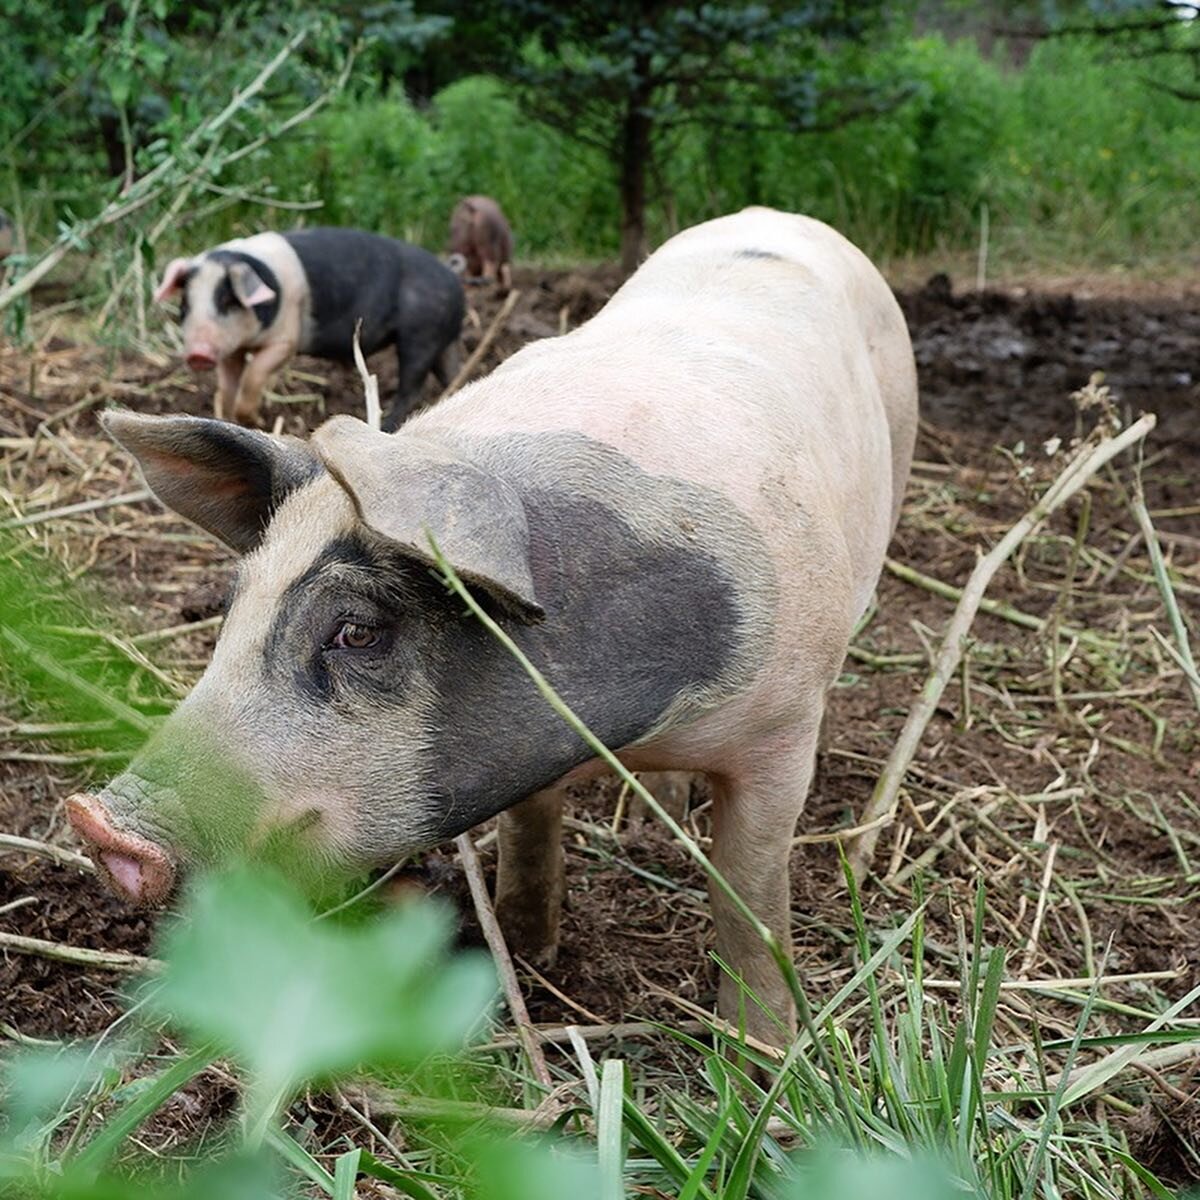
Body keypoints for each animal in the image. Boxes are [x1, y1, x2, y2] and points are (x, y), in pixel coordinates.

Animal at [154, 225, 463, 432]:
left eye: (228, 300)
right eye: (185, 305)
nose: (198, 354)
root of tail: (455, 284)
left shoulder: (285, 339)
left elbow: (254, 375)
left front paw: (251, 420)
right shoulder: (232, 349)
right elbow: (228, 384)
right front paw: (226, 417)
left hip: (421, 334)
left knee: (411, 385)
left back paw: (387, 425)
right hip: (441, 342)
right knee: (452, 374)